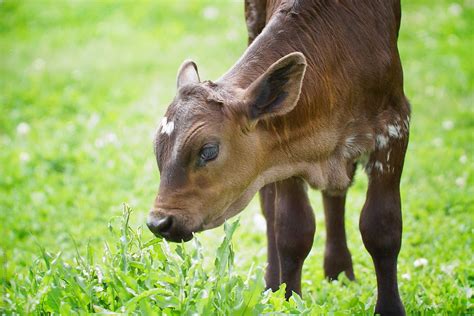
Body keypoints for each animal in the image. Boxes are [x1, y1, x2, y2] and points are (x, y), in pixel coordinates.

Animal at [149, 1, 412, 314]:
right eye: (158, 150)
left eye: (208, 150)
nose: (159, 223)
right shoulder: (282, 152)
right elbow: (292, 231)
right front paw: (286, 298)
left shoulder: (395, 126)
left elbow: (382, 227)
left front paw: (390, 307)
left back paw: (338, 271)